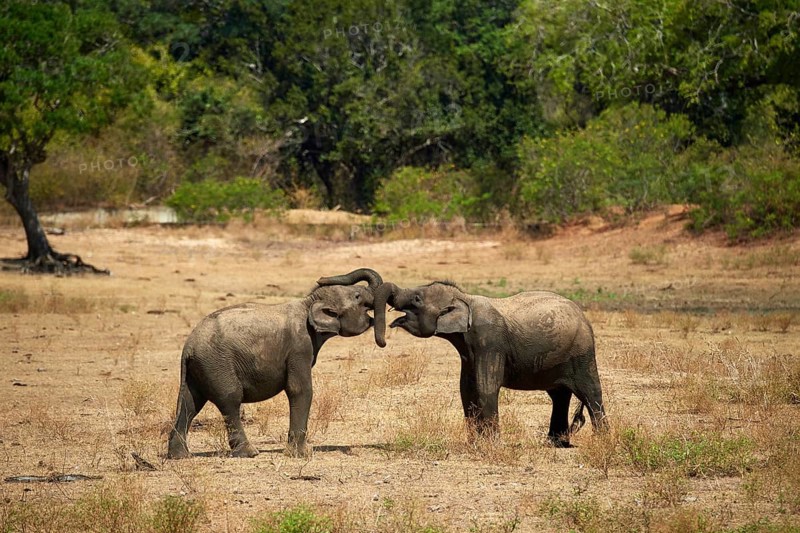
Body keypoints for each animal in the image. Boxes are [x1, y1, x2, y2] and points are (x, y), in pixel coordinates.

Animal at [167, 268, 382, 459]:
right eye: (357, 296)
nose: (321, 278)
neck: (308, 303)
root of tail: (188, 348)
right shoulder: (299, 347)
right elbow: (300, 389)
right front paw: (301, 455)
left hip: (198, 369)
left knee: (190, 403)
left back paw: (180, 456)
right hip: (217, 364)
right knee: (230, 400)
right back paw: (250, 453)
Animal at [320, 277, 608, 447]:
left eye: (417, 299)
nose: (382, 340)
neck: (465, 298)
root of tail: (585, 317)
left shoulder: (489, 342)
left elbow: (485, 387)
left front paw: (491, 446)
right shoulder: (468, 351)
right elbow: (466, 390)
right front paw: (475, 444)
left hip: (582, 352)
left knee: (591, 392)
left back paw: (602, 440)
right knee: (559, 396)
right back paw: (556, 444)